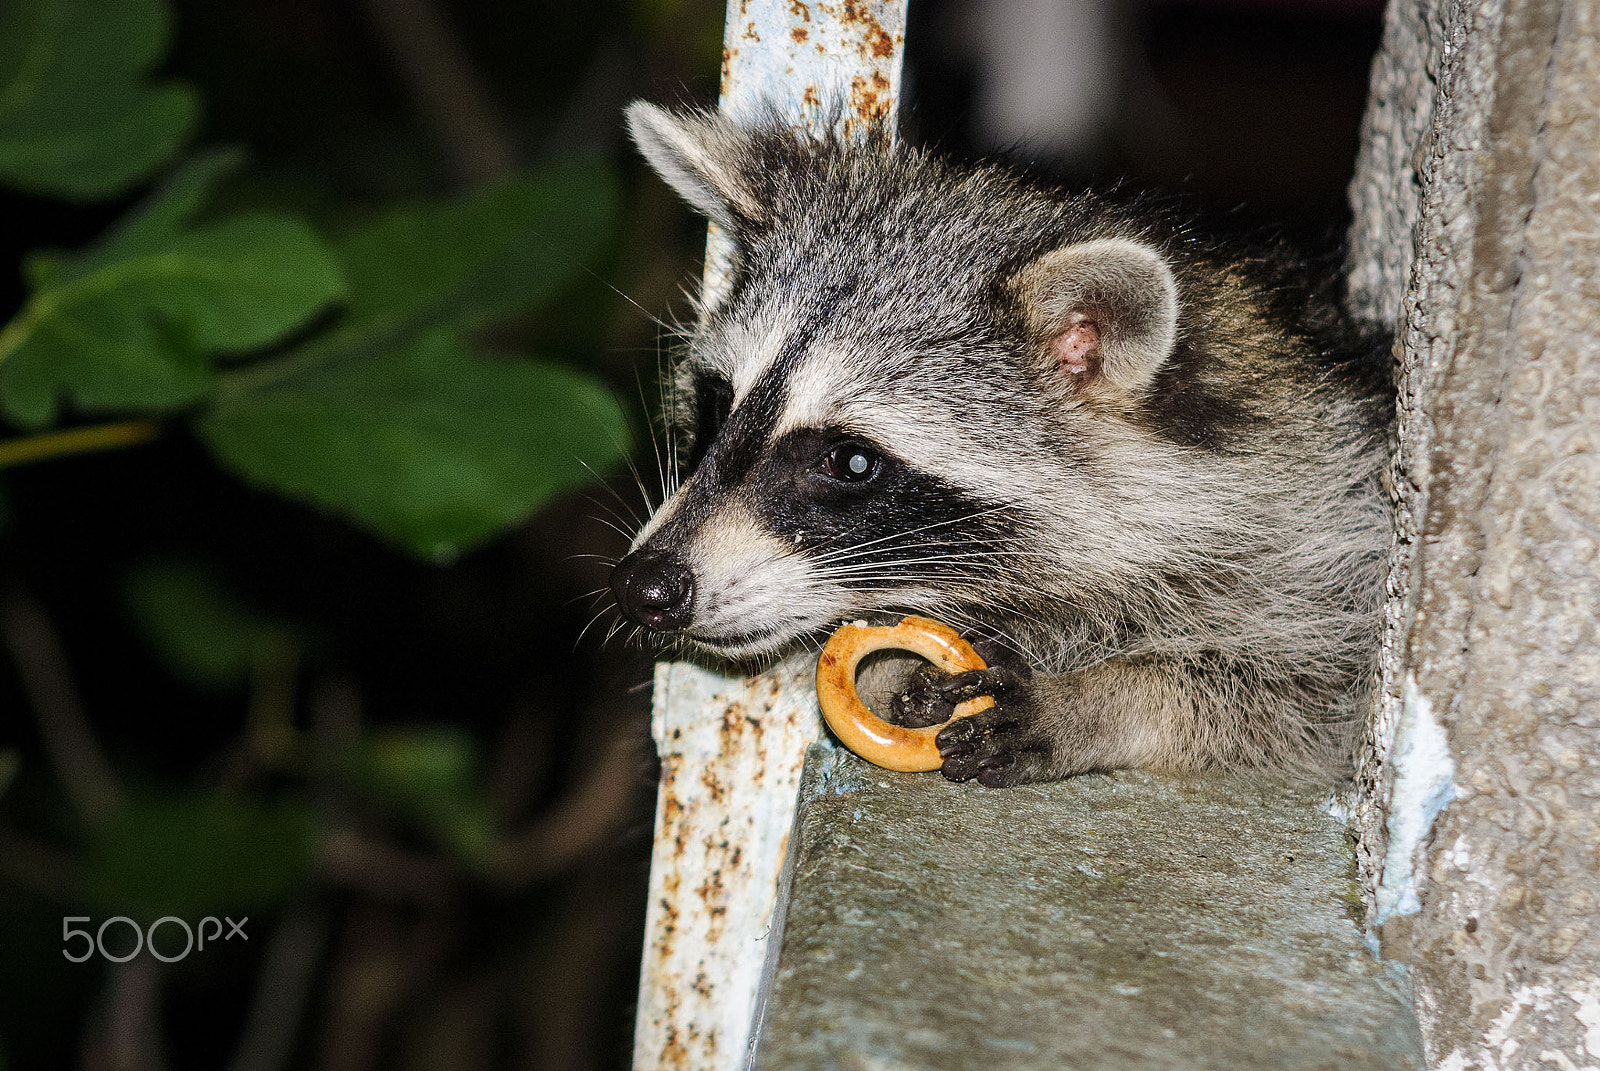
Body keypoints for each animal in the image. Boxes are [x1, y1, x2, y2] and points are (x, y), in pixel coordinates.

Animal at [611, 102, 1388, 784]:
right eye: (719, 402)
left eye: (851, 461)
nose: (642, 587)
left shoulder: (1326, 537)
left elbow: (1310, 696)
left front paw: (1111, 699)